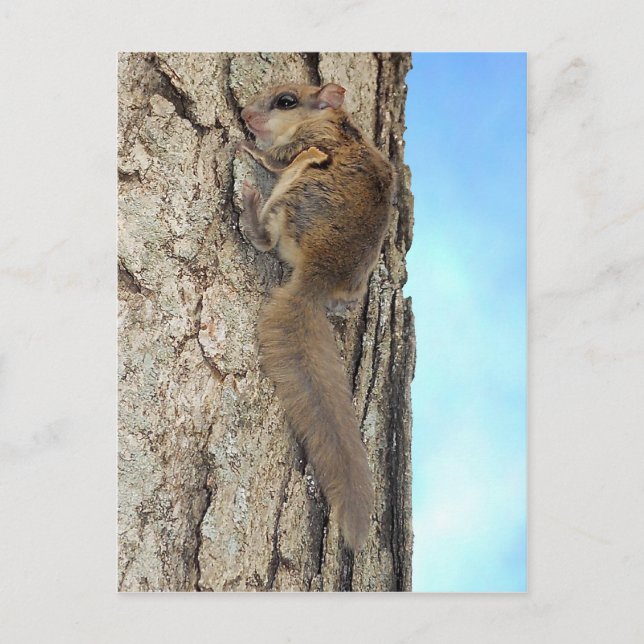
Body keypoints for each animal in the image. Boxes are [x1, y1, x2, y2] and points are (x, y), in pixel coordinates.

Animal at [237, 83, 394, 551]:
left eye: (285, 101)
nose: (244, 115)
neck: (337, 123)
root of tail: (314, 280)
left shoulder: (308, 144)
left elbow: (271, 156)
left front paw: (243, 144)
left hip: (298, 185)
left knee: (266, 239)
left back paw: (250, 207)